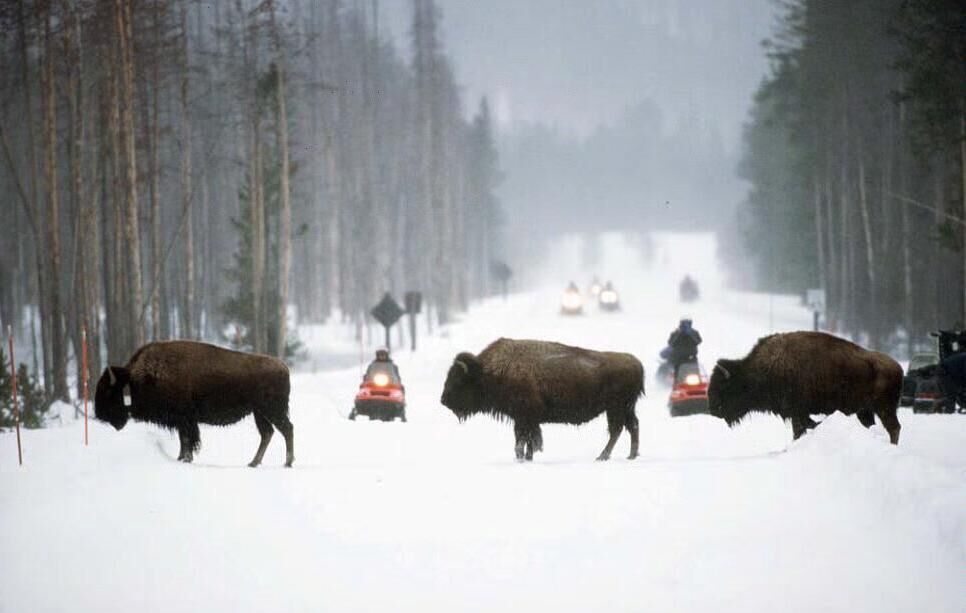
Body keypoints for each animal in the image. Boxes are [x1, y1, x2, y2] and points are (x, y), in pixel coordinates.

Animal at [95, 340, 294, 466]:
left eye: (108, 391)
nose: (99, 415)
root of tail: (284, 367)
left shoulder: (185, 420)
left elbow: (188, 440)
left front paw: (186, 459)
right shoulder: (181, 421)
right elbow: (183, 440)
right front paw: (181, 458)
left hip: (271, 410)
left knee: (286, 429)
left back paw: (287, 462)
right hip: (259, 413)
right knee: (267, 433)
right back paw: (253, 463)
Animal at [440, 338, 644, 461]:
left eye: (458, 380)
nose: (443, 400)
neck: (488, 371)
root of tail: (635, 362)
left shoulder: (525, 417)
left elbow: (523, 440)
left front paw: (522, 458)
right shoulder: (525, 419)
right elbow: (527, 440)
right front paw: (527, 458)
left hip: (616, 408)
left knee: (617, 429)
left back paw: (603, 456)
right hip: (624, 408)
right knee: (631, 426)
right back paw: (631, 455)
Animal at [707, 331, 902, 444]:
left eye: (723, 388)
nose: (713, 409)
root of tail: (897, 367)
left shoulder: (797, 412)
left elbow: (800, 430)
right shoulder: (799, 413)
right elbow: (807, 426)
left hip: (884, 408)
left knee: (894, 428)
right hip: (865, 412)